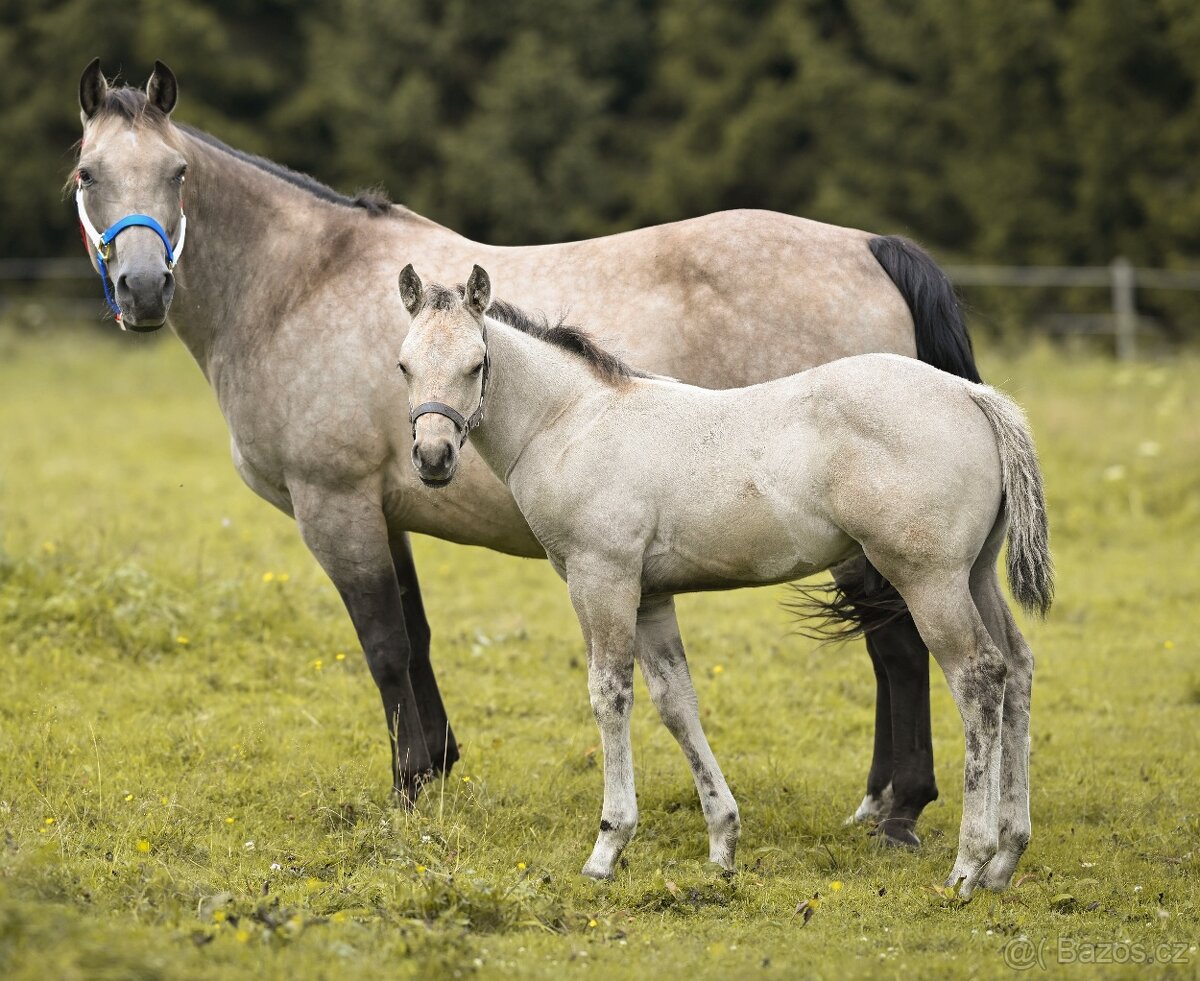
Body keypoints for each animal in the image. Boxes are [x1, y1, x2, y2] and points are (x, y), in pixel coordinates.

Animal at [70, 59, 979, 839]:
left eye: (177, 172)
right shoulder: (385, 510)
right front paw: (434, 768)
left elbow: (384, 645)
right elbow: (415, 635)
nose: (143, 290)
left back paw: (900, 808)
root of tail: (868, 247)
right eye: (87, 175)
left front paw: (406, 789)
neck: (298, 283)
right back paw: (878, 802)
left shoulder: (334, 506)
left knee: (899, 646)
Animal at [400, 263, 1051, 892]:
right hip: (975, 577)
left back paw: (969, 863)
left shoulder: (600, 578)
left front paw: (607, 847)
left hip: (929, 581)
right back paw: (1006, 859)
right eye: (404, 364)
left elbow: (610, 696)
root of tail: (970, 394)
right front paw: (722, 843)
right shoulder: (651, 597)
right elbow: (676, 703)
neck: (570, 421)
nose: (433, 458)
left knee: (978, 678)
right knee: (1016, 667)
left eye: (476, 364)